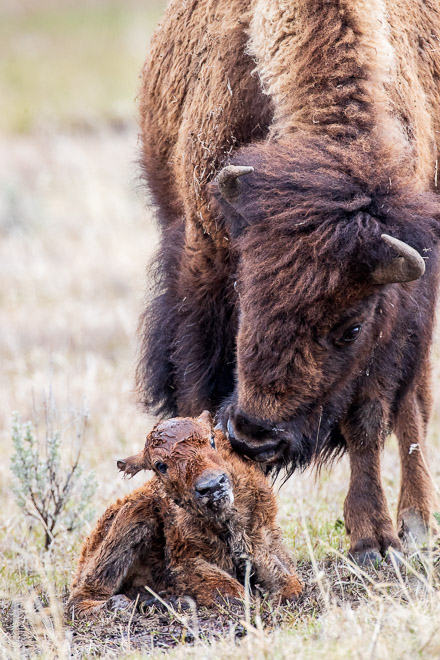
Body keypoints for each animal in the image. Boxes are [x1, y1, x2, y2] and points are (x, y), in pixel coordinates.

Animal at [68, 410, 302, 616]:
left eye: (211, 441)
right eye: (161, 465)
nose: (212, 485)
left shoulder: (261, 538)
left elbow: (289, 581)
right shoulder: (184, 563)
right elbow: (231, 591)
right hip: (133, 517)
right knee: (80, 597)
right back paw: (129, 604)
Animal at [136, 0, 438, 564]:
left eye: (350, 329)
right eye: (245, 296)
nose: (255, 437)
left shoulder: (398, 309)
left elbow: (369, 418)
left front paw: (372, 540)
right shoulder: (204, 263)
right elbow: (192, 391)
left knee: (412, 407)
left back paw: (416, 523)